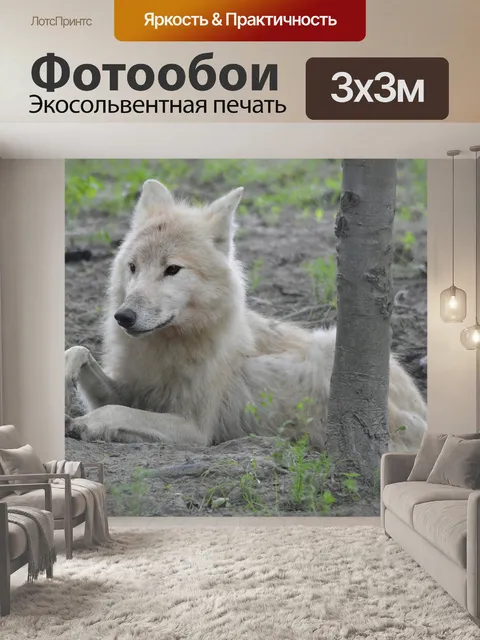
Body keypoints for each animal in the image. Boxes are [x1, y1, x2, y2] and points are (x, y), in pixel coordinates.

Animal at [65, 180, 427, 452]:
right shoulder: (129, 390)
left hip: (329, 348)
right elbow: (81, 354)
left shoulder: (194, 429)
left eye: (172, 269)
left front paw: (82, 424)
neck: (169, 346)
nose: (123, 317)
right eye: (133, 267)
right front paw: (68, 370)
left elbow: (114, 412)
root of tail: (425, 411)